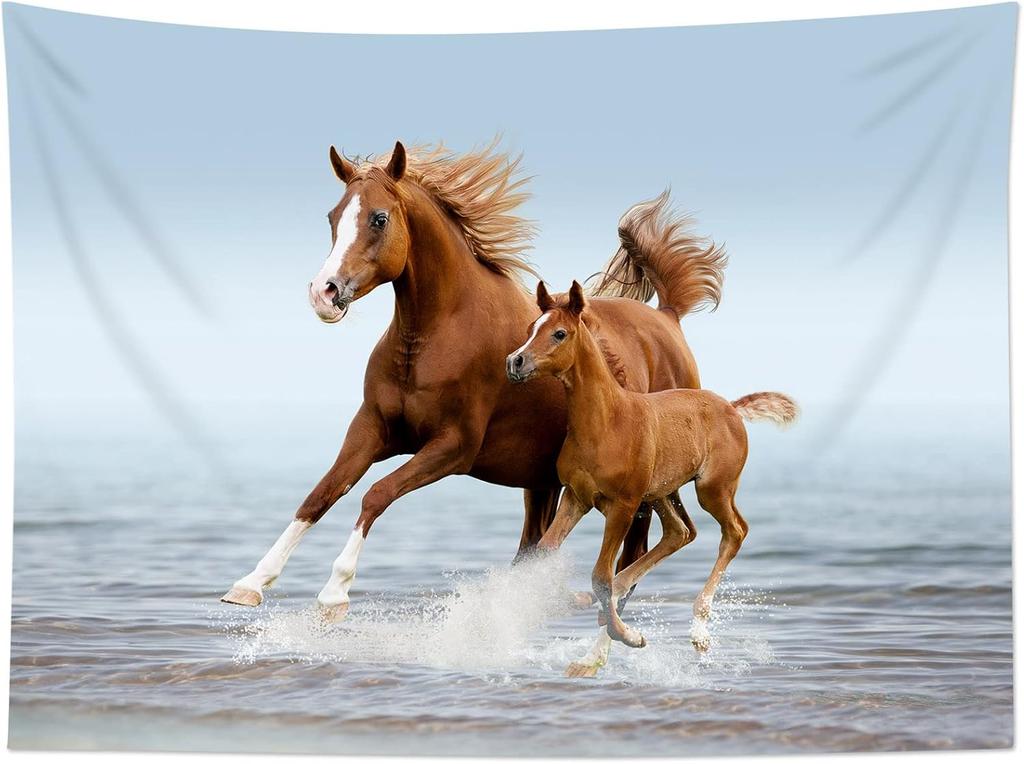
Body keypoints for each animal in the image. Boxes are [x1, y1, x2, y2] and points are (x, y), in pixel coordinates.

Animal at [221, 140, 727, 624]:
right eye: (332, 216)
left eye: (379, 218)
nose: (323, 293)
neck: (433, 337)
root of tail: (668, 317)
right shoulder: (372, 429)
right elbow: (321, 494)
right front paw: (251, 583)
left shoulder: (453, 446)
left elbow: (375, 494)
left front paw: (334, 592)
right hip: (541, 481)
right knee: (535, 548)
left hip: (640, 487)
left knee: (635, 550)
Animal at [507, 280, 797, 677]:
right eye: (529, 329)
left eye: (559, 333)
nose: (515, 362)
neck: (606, 421)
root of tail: (732, 408)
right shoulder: (576, 498)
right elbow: (546, 551)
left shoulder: (623, 506)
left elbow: (600, 576)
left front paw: (630, 636)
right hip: (661, 492)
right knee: (679, 532)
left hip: (711, 489)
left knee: (735, 531)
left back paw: (698, 631)